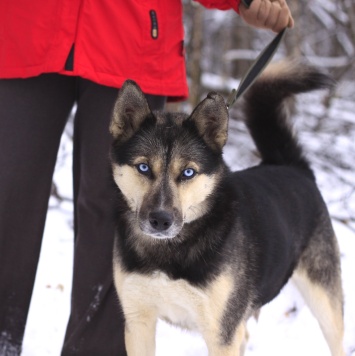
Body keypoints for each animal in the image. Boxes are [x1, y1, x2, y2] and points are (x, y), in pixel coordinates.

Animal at [110, 62, 344, 354]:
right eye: (143, 167)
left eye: (188, 172)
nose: (160, 221)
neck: (169, 250)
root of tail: (292, 166)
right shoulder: (138, 322)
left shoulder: (221, 333)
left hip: (325, 303)